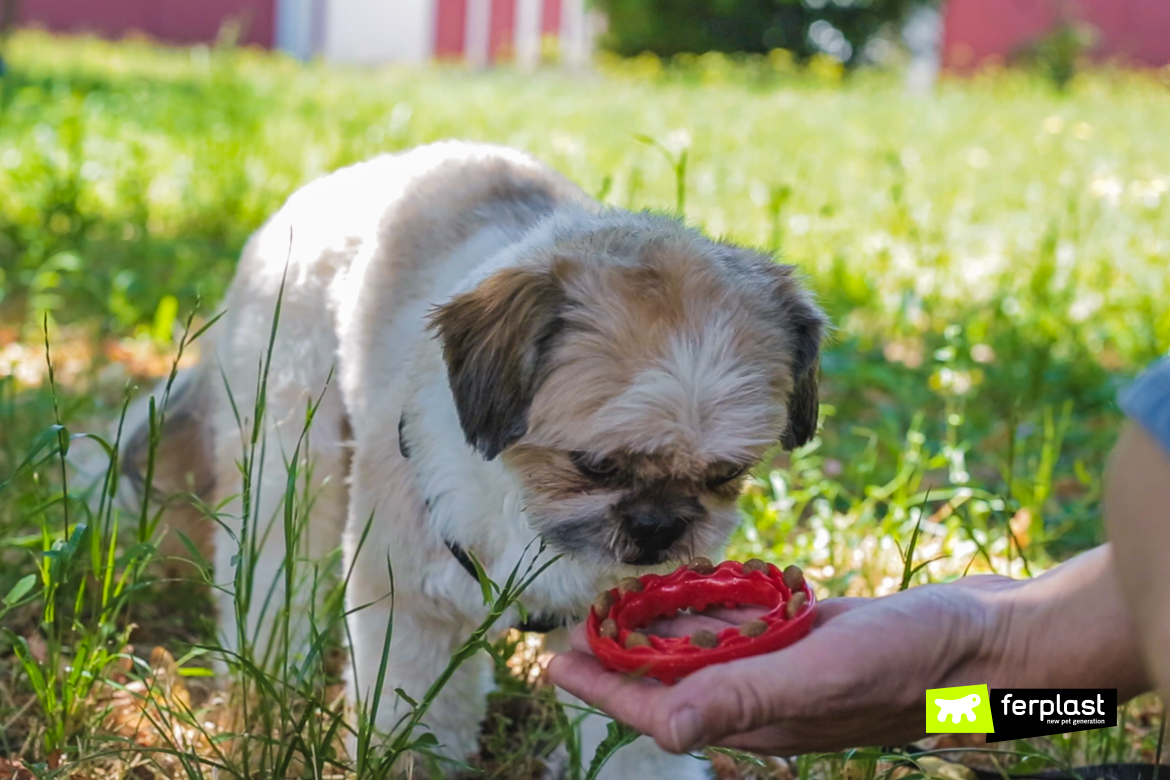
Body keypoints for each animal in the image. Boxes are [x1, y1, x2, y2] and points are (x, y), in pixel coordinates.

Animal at [123, 142, 828, 780]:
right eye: (596, 466)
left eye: (725, 475)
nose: (659, 527)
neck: (526, 508)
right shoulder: (409, 603)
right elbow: (417, 719)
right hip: (290, 442)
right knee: (275, 564)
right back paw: (268, 673)